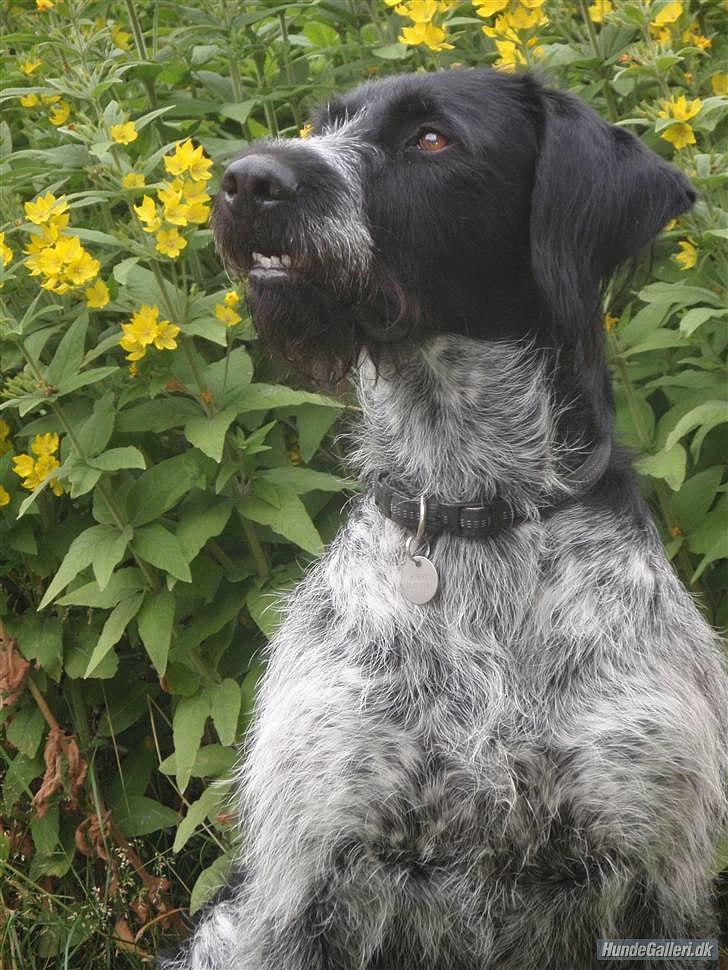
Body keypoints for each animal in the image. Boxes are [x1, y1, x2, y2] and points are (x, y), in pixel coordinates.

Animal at [165, 70, 728, 968]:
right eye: (322, 126)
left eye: (431, 139)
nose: (247, 181)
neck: (470, 511)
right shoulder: (304, 883)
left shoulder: (654, 883)